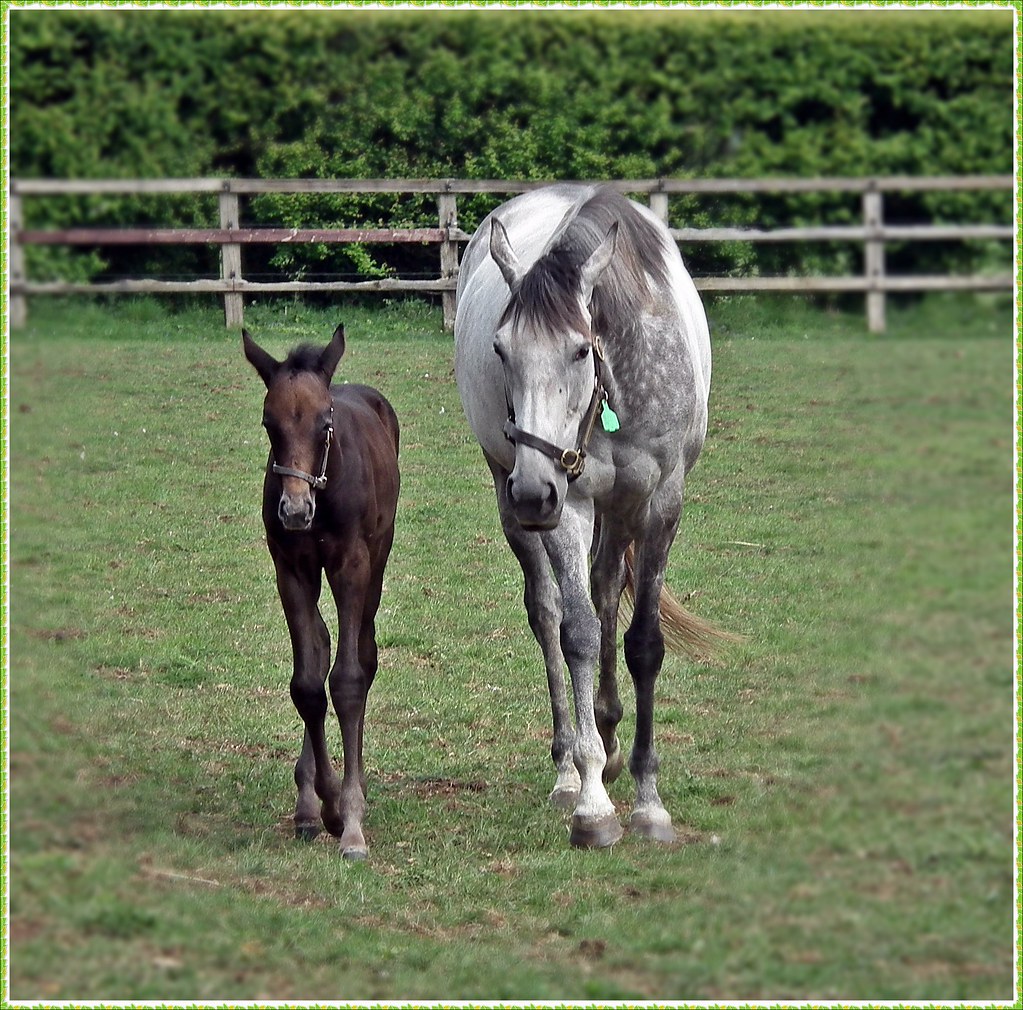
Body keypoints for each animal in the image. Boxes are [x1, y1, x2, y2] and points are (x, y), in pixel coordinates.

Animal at [243, 323, 400, 860]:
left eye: (325, 422)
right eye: (268, 423)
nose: (295, 510)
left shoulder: (352, 564)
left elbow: (348, 680)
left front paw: (349, 820)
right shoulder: (291, 569)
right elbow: (308, 685)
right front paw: (324, 805)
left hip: (378, 557)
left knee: (364, 653)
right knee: (323, 645)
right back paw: (308, 804)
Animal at [454, 183, 725, 849]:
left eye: (581, 349)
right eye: (500, 349)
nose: (533, 492)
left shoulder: (660, 501)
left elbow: (643, 640)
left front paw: (649, 801)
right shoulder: (567, 503)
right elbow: (576, 633)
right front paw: (593, 803)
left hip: (615, 508)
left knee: (606, 590)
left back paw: (607, 730)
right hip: (517, 496)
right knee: (549, 612)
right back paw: (569, 765)